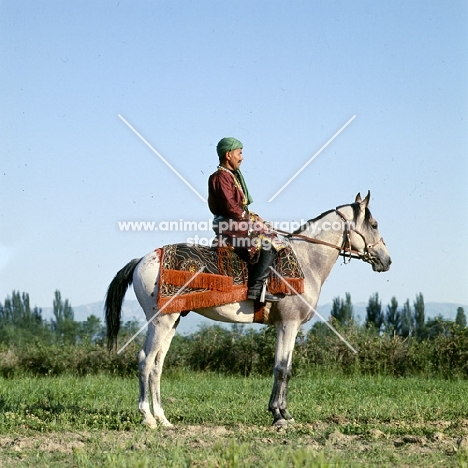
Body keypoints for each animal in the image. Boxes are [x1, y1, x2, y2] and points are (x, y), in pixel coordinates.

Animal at [105, 191, 392, 428]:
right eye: (374, 225)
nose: (387, 260)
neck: (307, 260)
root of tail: (142, 260)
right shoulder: (288, 324)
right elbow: (281, 368)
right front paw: (278, 415)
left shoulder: (288, 326)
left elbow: (285, 367)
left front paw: (284, 413)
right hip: (160, 321)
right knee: (145, 360)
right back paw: (147, 417)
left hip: (172, 322)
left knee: (157, 365)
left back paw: (163, 419)